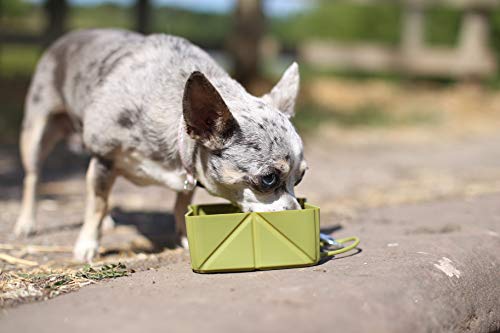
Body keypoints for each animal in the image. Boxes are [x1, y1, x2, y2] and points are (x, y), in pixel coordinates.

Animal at [13, 28, 306, 260]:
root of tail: (67, 37)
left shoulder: (189, 171)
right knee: (33, 177)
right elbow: (96, 204)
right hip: (36, 133)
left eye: (300, 178)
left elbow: (179, 205)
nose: (297, 214)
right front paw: (87, 244)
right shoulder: (104, 159)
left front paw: (185, 236)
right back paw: (26, 222)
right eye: (268, 179)